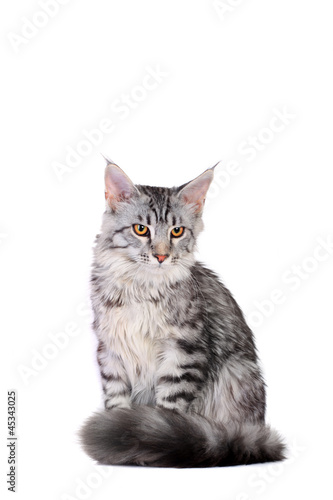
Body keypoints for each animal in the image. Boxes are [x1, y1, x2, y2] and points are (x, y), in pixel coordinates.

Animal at [79, 161, 284, 468]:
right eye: (141, 229)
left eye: (177, 231)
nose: (162, 256)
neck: (142, 289)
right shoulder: (110, 350)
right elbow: (116, 401)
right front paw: (118, 440)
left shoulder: (184, 351)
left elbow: (169, 412)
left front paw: (156, 442)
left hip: (236, 374)